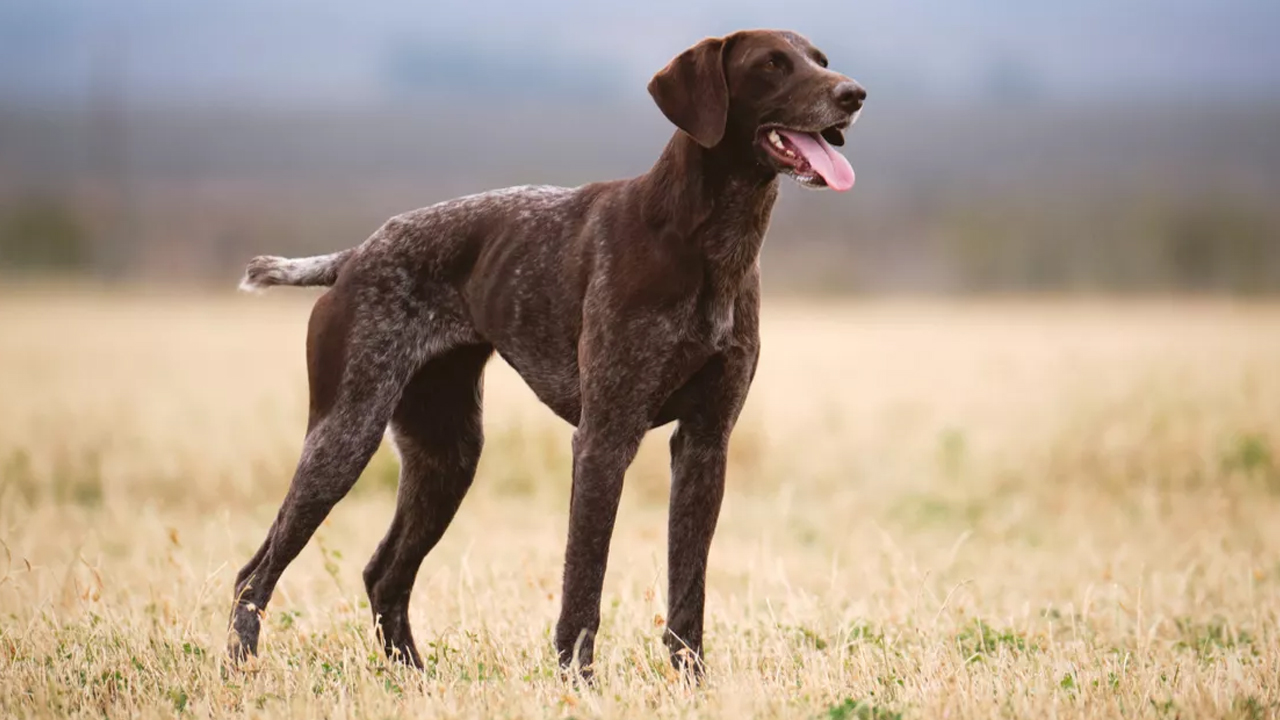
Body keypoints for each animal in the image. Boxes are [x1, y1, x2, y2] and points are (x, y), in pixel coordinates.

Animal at [231, 28, 870, 676]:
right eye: (771, 64)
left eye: (820, 60)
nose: (854, 94)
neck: (710, 244)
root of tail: (356, 254)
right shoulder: (604, 439)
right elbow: (583, 582)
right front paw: (577, 680)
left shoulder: (705, 443)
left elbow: (687, 590)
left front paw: (691, 681)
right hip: (344, 437)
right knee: (255, 573)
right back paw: (241, 669)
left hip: (447, 454)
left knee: (384, 574)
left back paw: (413, 677)